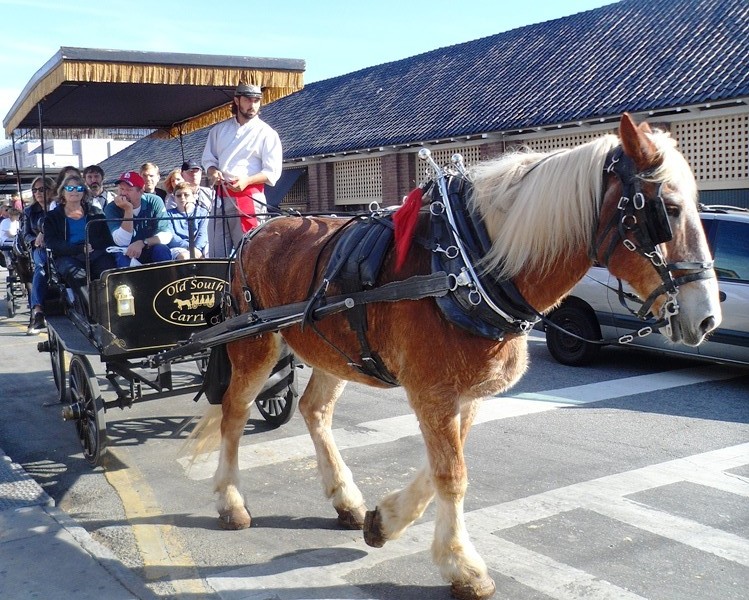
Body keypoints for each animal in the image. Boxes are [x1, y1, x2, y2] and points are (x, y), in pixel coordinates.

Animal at [190, 113, 720, 600]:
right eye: (669, 210)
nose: (708, 318)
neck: (467, 266)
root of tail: (255, 234)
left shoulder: (467, 394)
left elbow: (443, 469)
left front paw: (386, 520)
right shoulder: (434, 392)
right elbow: (453, 475)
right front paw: (462, 565)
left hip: (333, 350)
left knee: (314, 409)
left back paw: (345, 499)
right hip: (256, 344)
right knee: (234, 411)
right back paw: (231, 502)